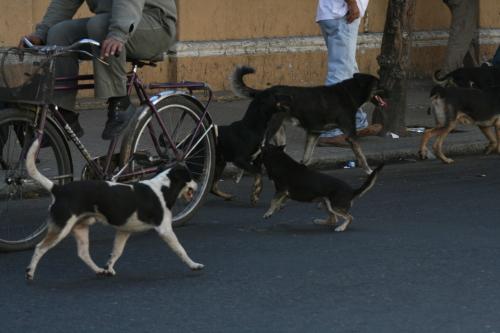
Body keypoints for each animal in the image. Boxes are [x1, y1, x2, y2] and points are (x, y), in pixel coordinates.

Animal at [25, 137, 203, 280]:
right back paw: (30, 272)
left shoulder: (123, 231)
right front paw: (193, 265)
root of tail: (58, 189)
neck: (163, 188)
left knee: (83, 254)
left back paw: (99, 270)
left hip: (81, 229)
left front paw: (108, 267)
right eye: (191, 177)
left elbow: (116, 252)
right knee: (40, 247)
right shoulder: (165, 230)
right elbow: (181, 250)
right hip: (61, 229)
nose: (198, 184)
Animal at [230, 65, 386, 174]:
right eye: (379, 85)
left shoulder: (313, 133)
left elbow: (306, 158)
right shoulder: (351, 134)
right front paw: (369, 171)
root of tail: (262, 92)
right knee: (256, 152)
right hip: (270, 129)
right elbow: (361, 156)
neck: (349, 93)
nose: (390, 91)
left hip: (279, 132)